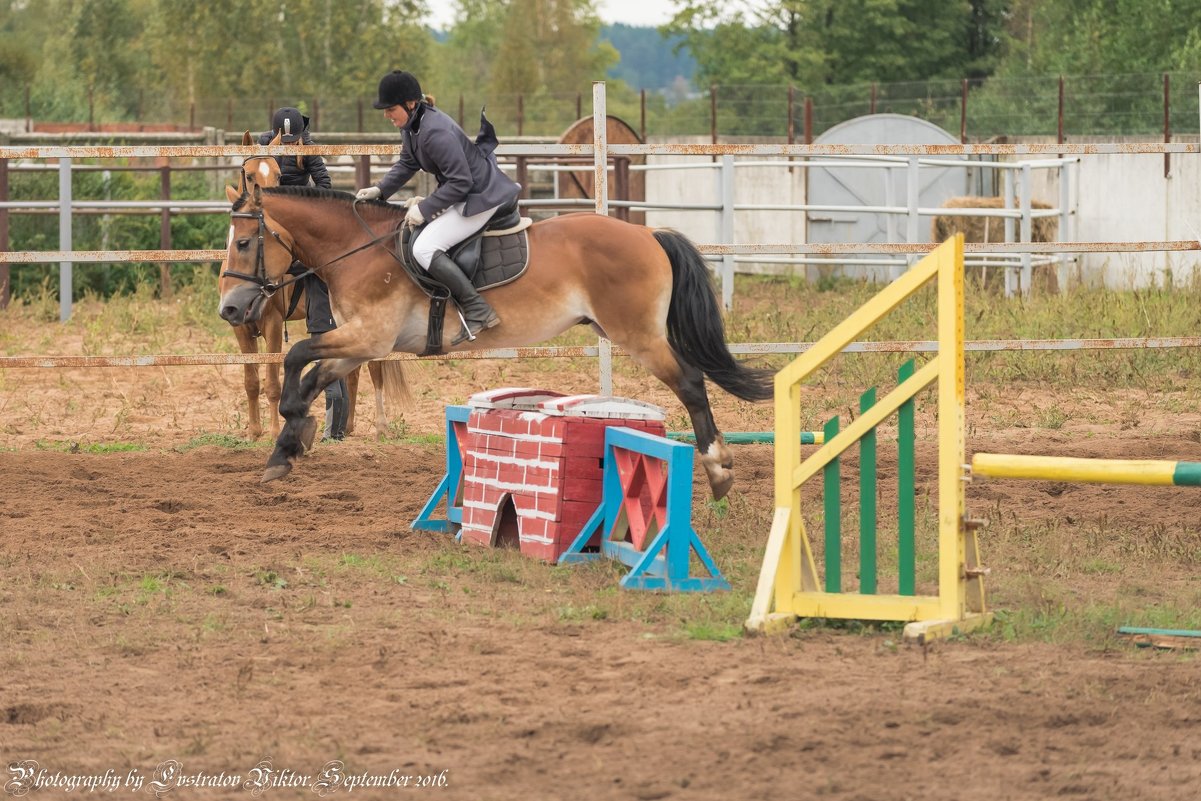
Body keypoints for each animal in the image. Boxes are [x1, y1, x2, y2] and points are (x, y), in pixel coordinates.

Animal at [220, 183, 773, 497]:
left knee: (691, 383)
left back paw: (719, 470)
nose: (229, 309)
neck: (359, 249)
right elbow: (309, 374)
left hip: (638, 336)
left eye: (244, 243)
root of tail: (647, 233)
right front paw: (289, 445)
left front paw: (291, 436)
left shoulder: (367, 339)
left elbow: (296, 356)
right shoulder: (360, 344)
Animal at [225, 134, 389, 441]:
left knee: (375, 366)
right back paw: (347, 427)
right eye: (249, 175)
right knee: (354, 369)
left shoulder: (273, 324)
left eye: (278, 174)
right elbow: (251, 381)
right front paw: (253, 432)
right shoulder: (240, 328)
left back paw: (381, 428)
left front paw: (274, 432)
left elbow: (272, 382)